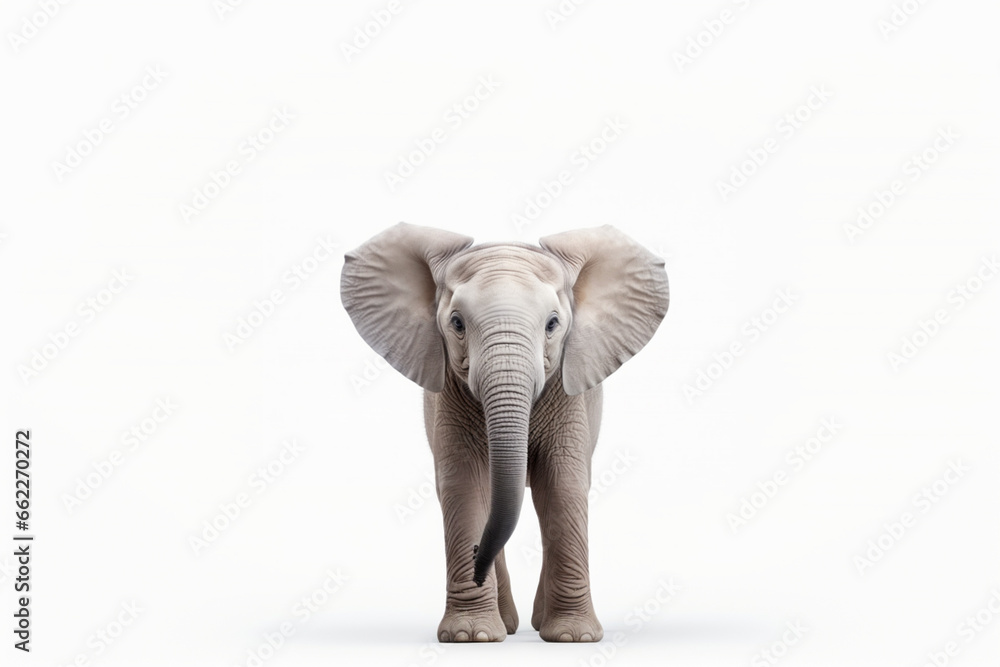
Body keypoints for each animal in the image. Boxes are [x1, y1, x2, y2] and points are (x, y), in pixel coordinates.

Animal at [340, 223, 669, 643]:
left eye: (552, 324)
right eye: (457, 323)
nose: (476, 558)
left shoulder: (568, 394)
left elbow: (561, 484)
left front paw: (572, 638)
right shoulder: (450, 393)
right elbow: (466, 484)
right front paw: (469, 636)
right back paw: (508, 626)